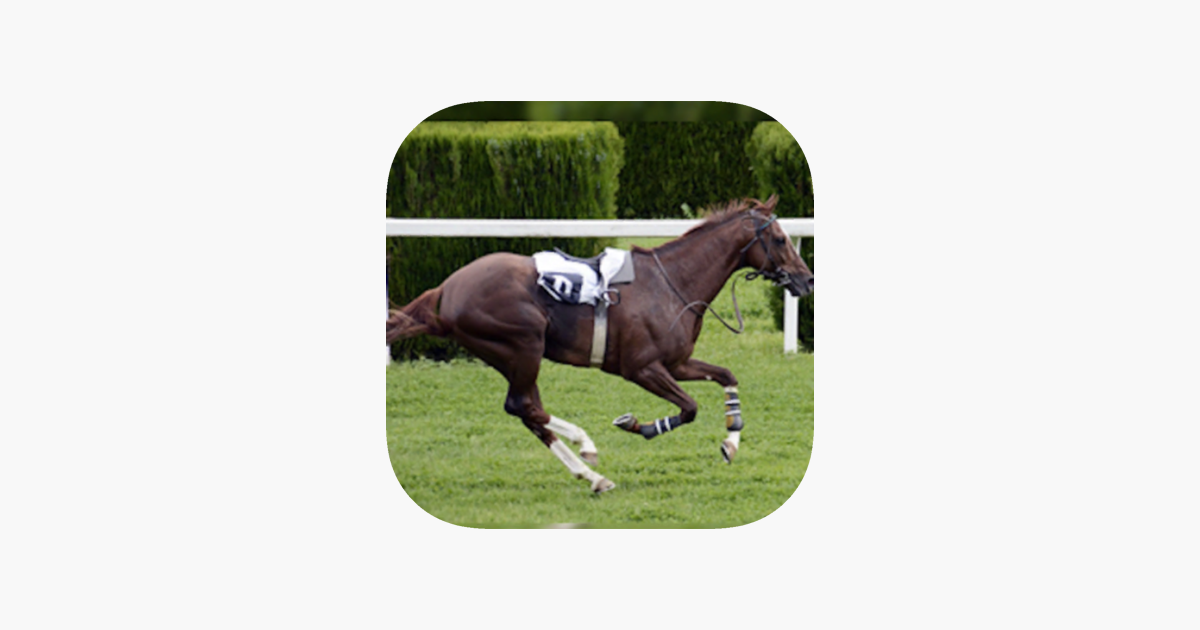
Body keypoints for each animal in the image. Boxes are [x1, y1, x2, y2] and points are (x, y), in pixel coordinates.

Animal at [386, 195, 814, 493]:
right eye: (779, 239)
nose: (807, 280)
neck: (672, 283)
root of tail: (447, 288)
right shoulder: (641, 368)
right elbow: (689, 408)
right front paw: (638, 425)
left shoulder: (676, 363)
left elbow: (727, 376)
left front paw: (731, 442)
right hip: (523, 345)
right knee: (524, 406)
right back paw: (586, 445)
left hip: (514, 355)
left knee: (529, 412)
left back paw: (592, 476)